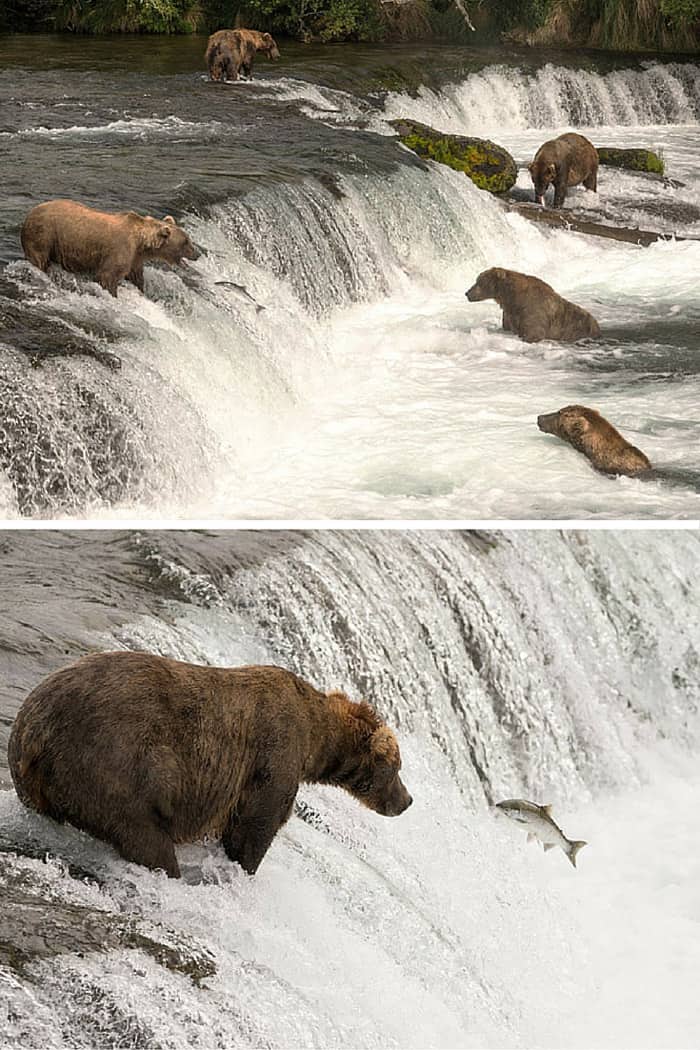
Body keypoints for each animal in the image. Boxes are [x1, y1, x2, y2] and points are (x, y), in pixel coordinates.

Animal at [8, 655, 413, 877]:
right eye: (396, 767)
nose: (406, 801)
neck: (317, 737)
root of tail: (31, 733)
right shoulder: (274, 755)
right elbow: (255, 826)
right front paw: (242, 869)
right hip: (116, 767)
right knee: (145, 838)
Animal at [22, 198, 197, 298]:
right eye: (186, 241)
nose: (197, 254)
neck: (141, 243)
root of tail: (29, 214)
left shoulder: (135, 258)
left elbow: (136, 277)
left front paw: (142, 291)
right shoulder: (120, 250)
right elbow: (107, 276)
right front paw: (113, 295)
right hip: (44, 235)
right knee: (39, 260)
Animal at [468, 266, 600, 344]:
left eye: (478, 282)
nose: (467, 293)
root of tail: (597, 325)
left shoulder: (533, 310)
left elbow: (533, 333)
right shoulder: (510, 313)